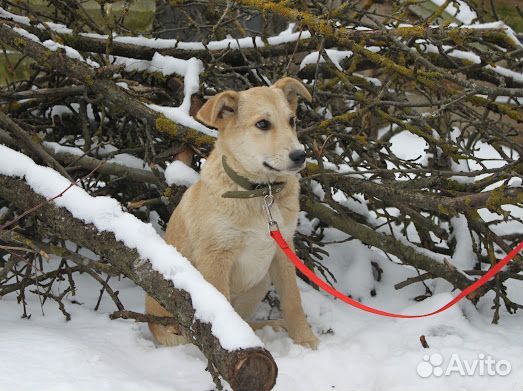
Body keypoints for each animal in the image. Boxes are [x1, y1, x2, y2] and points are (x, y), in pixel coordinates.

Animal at [146, 76, 320, 350]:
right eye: (262, 124)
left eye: (291, 120)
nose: (300, 155)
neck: (260, 195)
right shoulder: (216, 257)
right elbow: (222, 306)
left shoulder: (283, 250)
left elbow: (293, 300)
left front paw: (305, 340)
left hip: (260, 283)